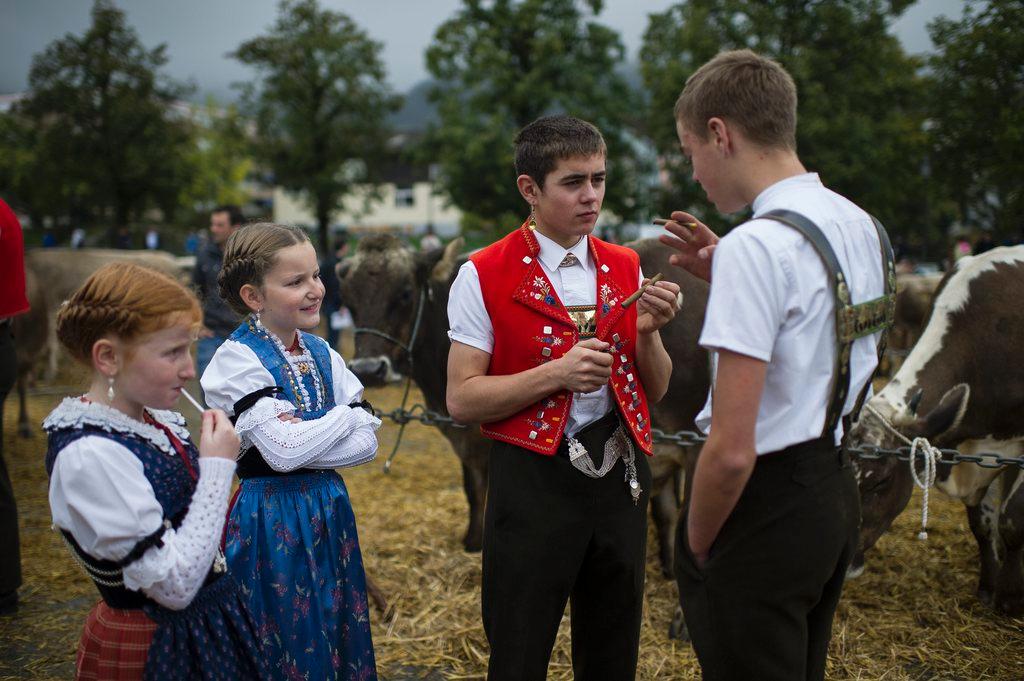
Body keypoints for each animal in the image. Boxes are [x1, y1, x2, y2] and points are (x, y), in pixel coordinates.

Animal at [847, 246, 1024, 614]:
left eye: (881, 481)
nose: (844, 565)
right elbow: (983, 523)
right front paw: (989, 588)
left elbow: (1013, 520)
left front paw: (1011, 599)